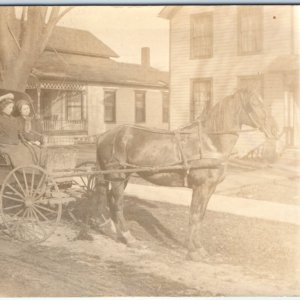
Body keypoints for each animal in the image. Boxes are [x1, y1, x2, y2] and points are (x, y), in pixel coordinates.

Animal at [95, 89, 278, 260]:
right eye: (254, 104)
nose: (275, 129)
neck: (210, 142)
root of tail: (105, 136)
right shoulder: (200, 187)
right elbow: (194, 216)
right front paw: (193, 251)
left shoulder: (209, 189)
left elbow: (200, 216)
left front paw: (199, 248)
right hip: (117, 176)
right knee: (118, 204)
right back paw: (129, 238)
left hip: (122, 177)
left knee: (111, 200)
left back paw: (115, 232)